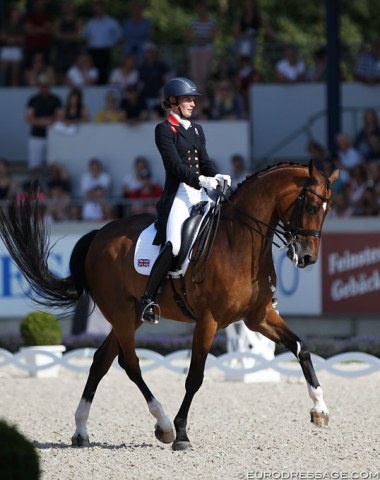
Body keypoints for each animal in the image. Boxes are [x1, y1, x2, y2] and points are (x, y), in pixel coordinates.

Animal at [0, 160, 338, 450]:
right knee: (129, 363)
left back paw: (81, 431)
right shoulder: (208, 320)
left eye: (328, 208)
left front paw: (320, 409)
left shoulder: (259, 316)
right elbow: (195, 377)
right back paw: (162, 424)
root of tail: (99, 235)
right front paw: (182, 433)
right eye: (310, 205)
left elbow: (301, 348)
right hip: (121, 313)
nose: (307, 257)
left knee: (100, 360)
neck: (239, 242)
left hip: (131, 315)